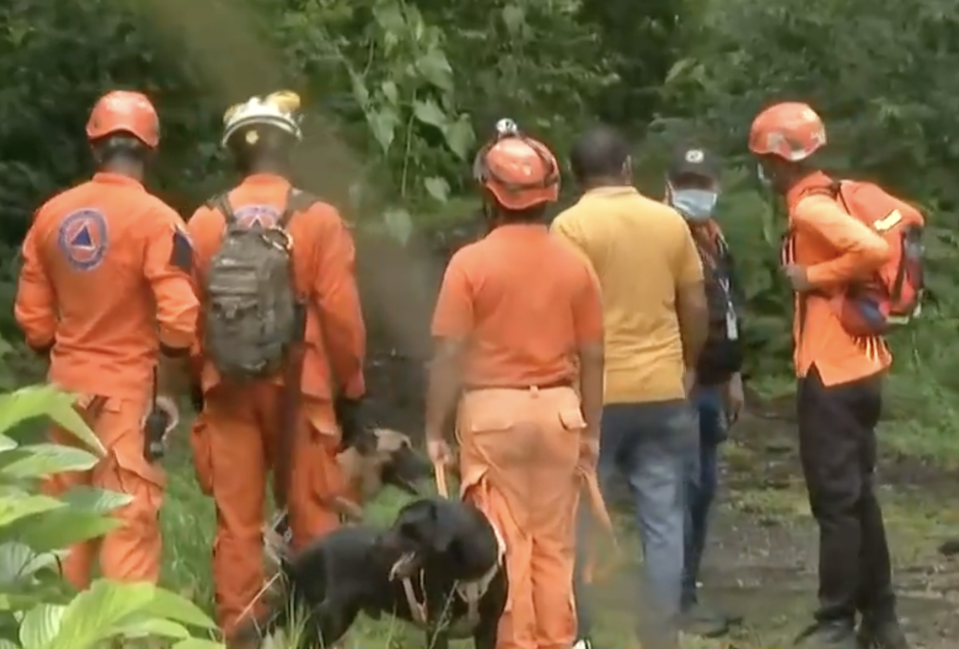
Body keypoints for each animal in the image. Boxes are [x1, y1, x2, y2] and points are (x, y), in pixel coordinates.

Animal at [233, 498, 506, 648]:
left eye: (406, 527)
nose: (376, 545)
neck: (469, 574)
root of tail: (308, 552)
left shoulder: (488, 629)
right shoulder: (437, 627)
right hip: (330, 616)